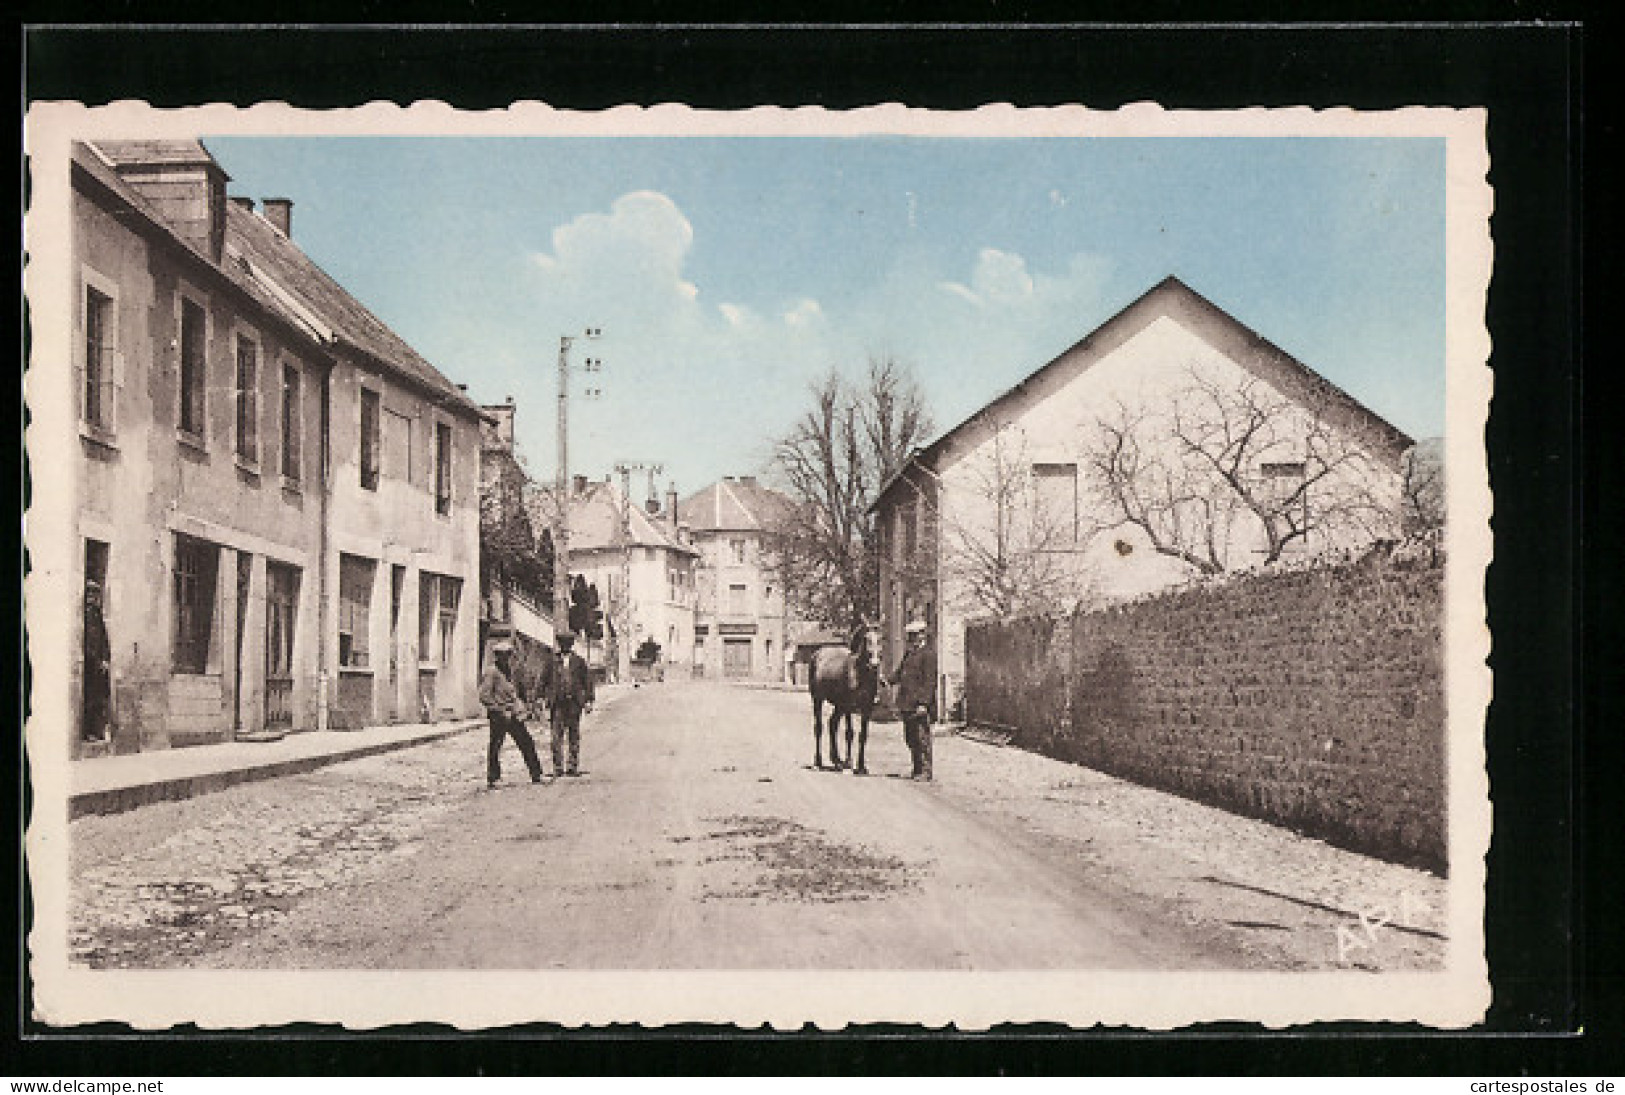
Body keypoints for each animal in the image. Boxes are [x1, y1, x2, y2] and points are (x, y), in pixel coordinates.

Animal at [806, 617, 884, 773]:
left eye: (881, 638)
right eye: (866, 638)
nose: (874, 664)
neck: (860, 674)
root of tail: (817, 654)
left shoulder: (867, 707)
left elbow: (863, 735)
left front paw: (861, 766)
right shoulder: (849, 706)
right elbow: (849, 732)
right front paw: (849, 762)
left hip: (838, 705)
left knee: (832, 724)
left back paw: (837, 760)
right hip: (818, 699)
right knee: (819, 727)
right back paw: (818, 762)